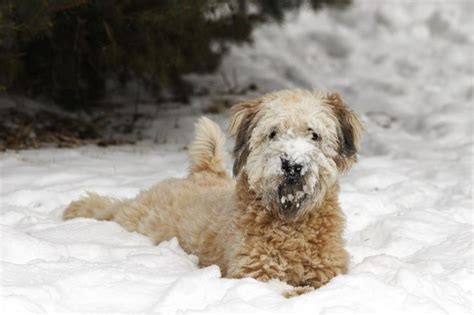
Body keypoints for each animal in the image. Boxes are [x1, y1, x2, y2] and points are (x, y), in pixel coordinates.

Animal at [64, 90, 362, 298]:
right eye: (273, 133)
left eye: (314, 134)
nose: (291, 165)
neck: (292, 225)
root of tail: (202, 173)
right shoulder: (251, 272)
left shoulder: (331, 269)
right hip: (135, 217)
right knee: (109, 207)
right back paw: (77, 208)